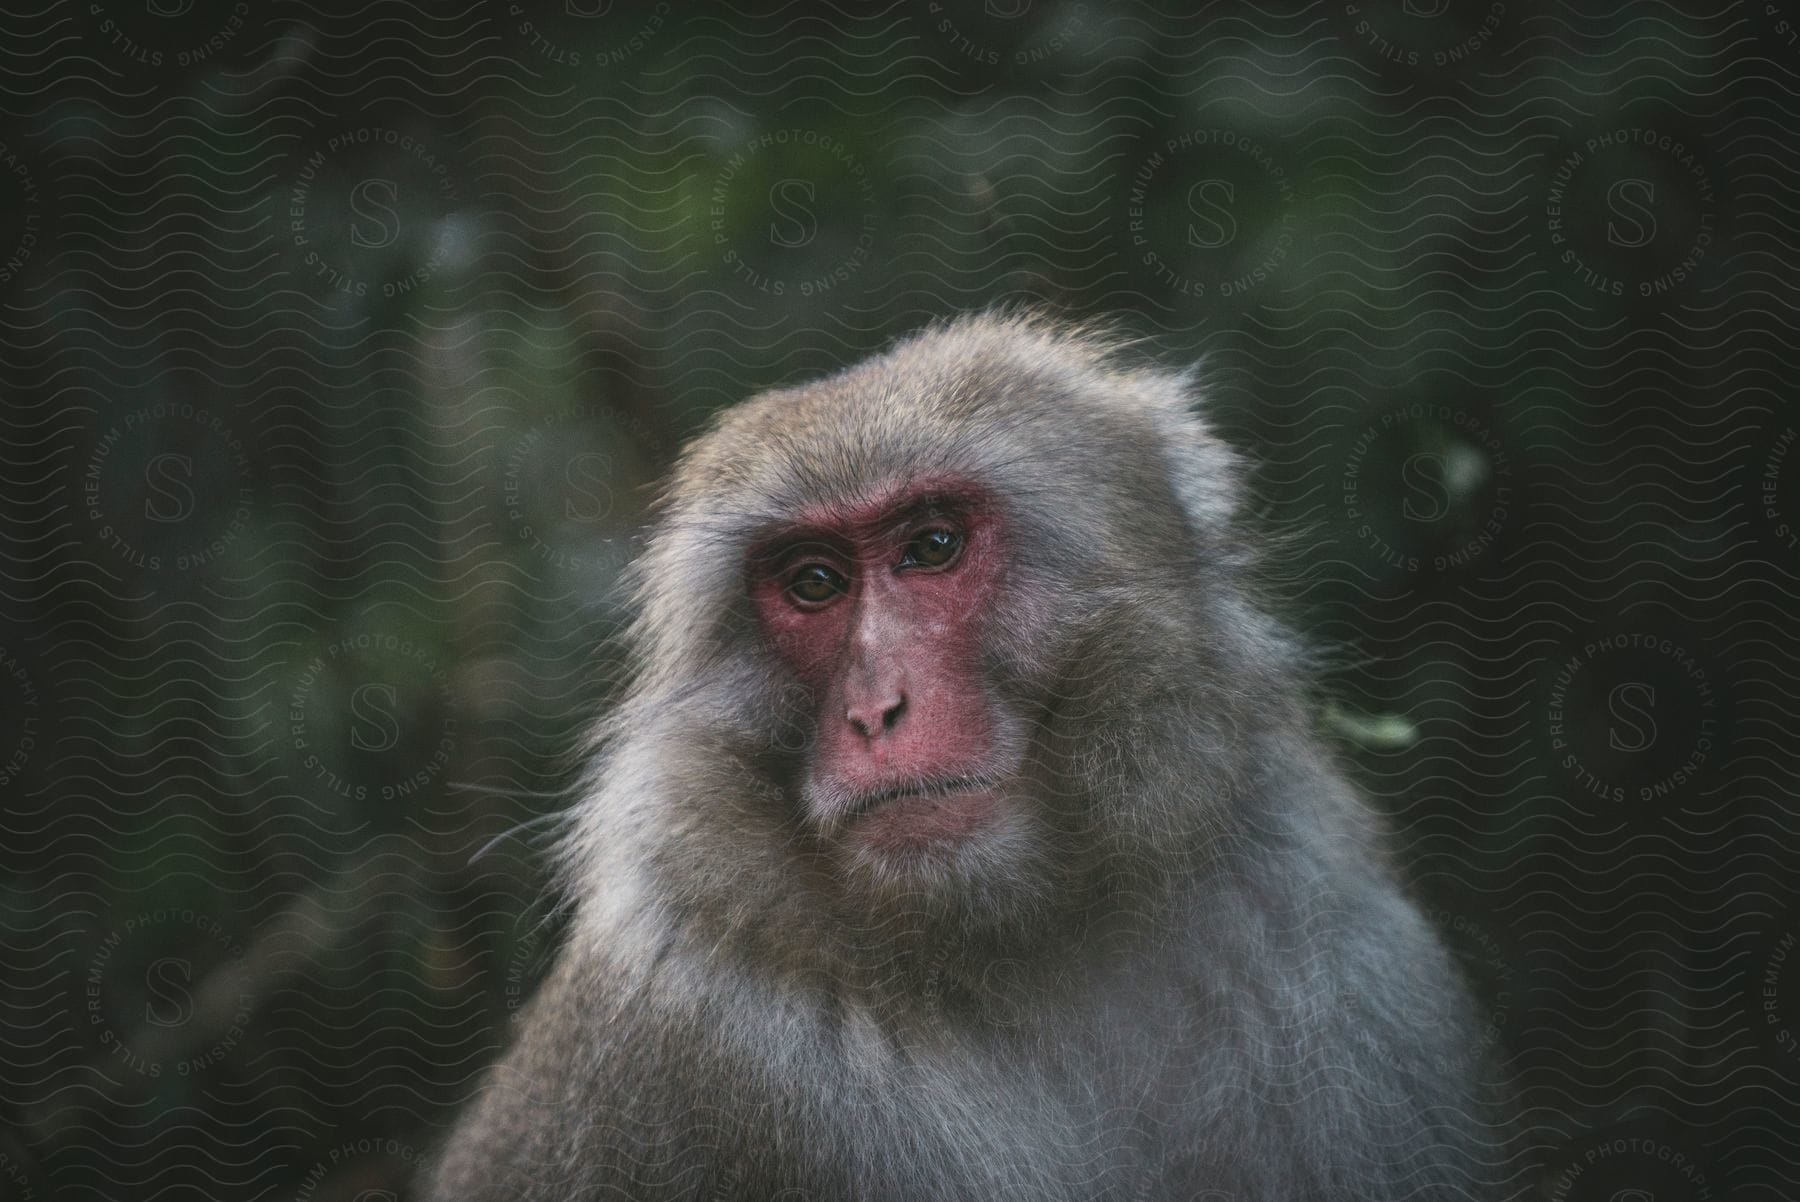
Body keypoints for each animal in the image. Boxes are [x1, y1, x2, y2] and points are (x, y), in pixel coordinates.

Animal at [428, 313, 1512, 1202]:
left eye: (933, 546)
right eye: (814, 582)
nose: (877, 711)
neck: (1031, 949)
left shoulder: (1337, 951)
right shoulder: (709, 1036)